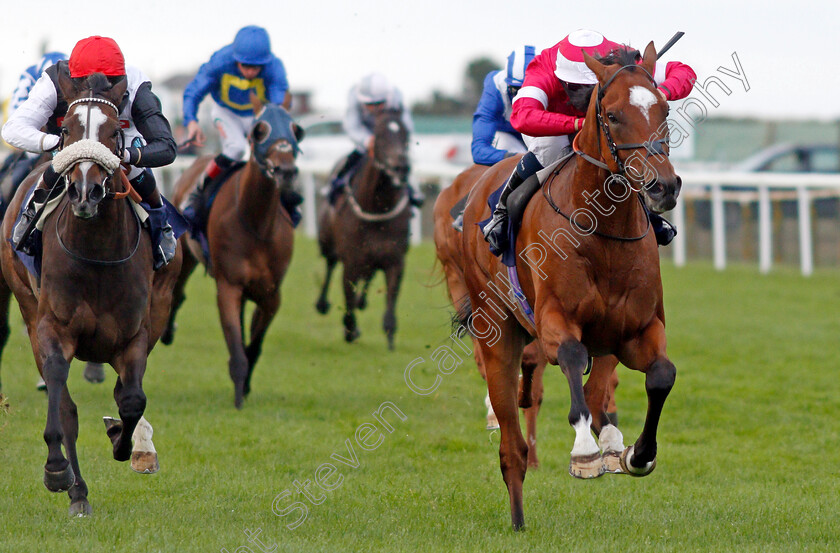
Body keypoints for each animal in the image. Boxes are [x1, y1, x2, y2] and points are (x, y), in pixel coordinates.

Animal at [0, 71, 183, 516]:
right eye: (66, 129)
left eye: (115, 131)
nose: (86, 192)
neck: (97, 253)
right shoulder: (52, 326)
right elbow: (62, 401)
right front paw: (57, 472)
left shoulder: (135, 333)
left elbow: (131, 399)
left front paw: (128, 442)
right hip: (26, 303)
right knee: (66, 402)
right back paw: (77, 490)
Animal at [162, 95, 304, 408]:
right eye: (259, 131)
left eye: (296, 130)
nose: (287, 171)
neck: (256, 222)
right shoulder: (228, 287)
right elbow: (238, 349)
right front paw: (239, 397)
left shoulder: (271, 295)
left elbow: (253, 347)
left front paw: (246, 386)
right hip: (184, 254)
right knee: (177, 293)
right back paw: (166, 333)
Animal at [316, 108, 412, 350]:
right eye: (379, 136)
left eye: (406, 134)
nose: (401, 167)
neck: (377, 207)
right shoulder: (351, 260)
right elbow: (347, 299)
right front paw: (350, 330)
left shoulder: (395, 260)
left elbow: (390, 305)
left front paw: (390, 341)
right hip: (327, 242)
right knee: (330, 266)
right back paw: (322, 303)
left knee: (368, 275)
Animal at [460, 42, 684, 528]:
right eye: (613, 115)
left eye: (664, 109)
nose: (664, 187)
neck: (605, 231)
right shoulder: (552, 322)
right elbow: (570, 355)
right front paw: (583, 452)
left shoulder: (638, 331)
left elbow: (662, 375)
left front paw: (638, 454)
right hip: (497, 331)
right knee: (511, 445)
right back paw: (518, 518)